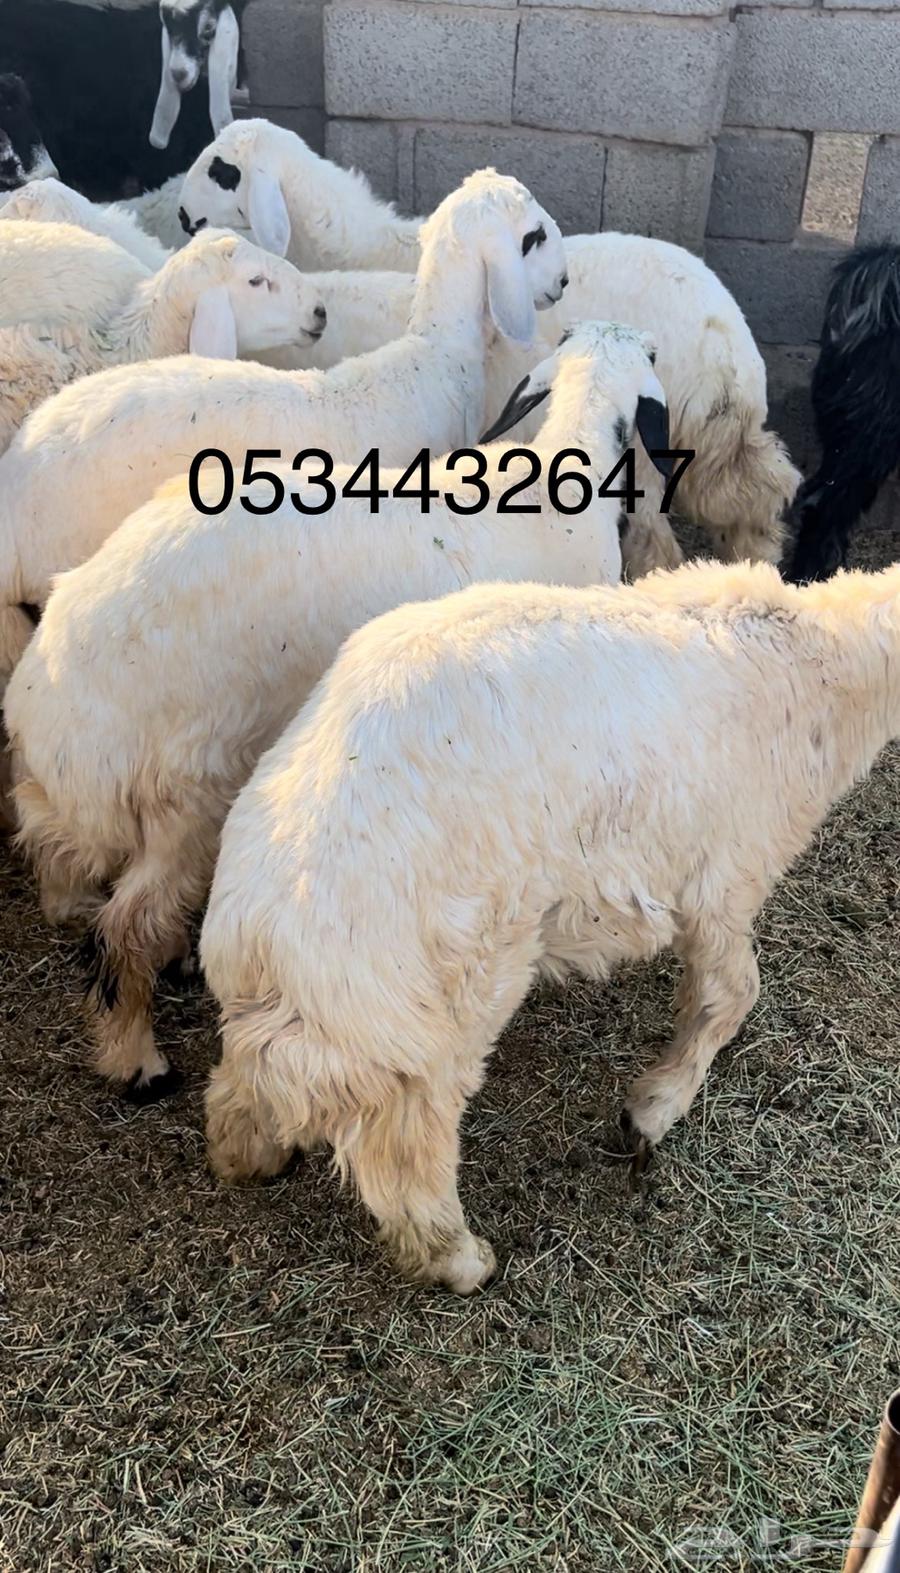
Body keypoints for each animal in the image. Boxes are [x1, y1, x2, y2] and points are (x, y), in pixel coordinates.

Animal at [180, 119, 799, 572]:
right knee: (759, 491)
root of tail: (728, 340)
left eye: (222, 170)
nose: (184, 216)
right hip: (721, 442)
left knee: (658, 538)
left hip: (649, 450)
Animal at [191, 558, 900, 1291]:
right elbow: (729, 996)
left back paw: (246, 1157)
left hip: (318, 1025)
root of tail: (264, 937)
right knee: (409, 1158)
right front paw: (652, 1110)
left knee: (239, 1089)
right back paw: (461, 1260)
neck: (822, 664)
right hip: (440, 1009)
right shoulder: (726, 878)